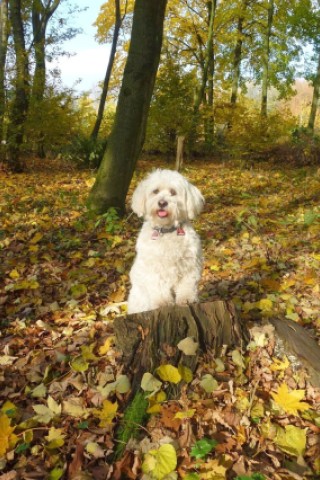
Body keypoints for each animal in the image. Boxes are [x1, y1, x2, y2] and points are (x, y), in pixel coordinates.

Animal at [126, 170, 204, 316]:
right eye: (155, 191)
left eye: (173, 192)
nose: (162, 202)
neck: (167, 230)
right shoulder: (154, 268)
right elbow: (159, 286)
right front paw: (163, 302)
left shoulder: (190, 264)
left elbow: (187, 284)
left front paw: (186, 299)